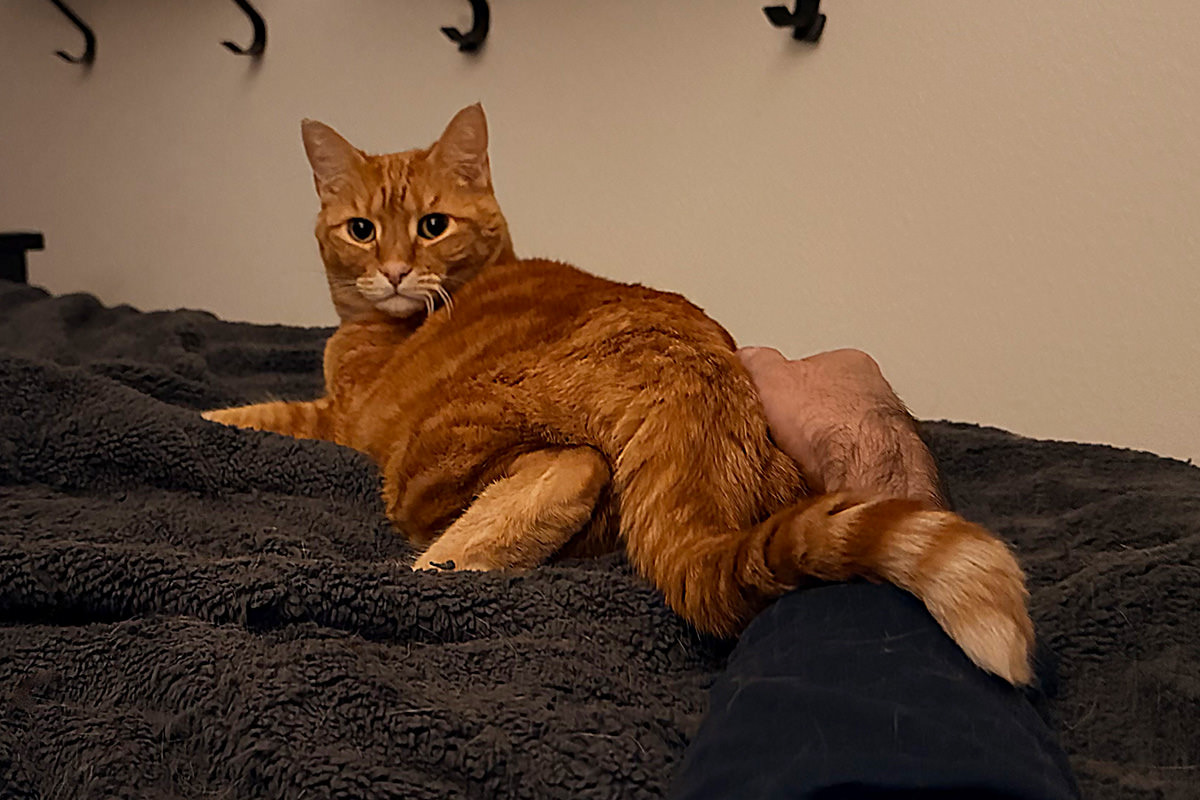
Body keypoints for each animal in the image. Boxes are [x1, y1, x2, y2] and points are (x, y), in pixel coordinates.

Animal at [204, 104, 1032, 681]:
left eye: (433, 225)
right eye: (361, 229)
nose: (399, 271)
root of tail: (690, 372)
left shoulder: (339, 419)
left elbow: (255, 415)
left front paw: (210, 413)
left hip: (432, 449)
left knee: (557, 470)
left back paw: (441, 566)